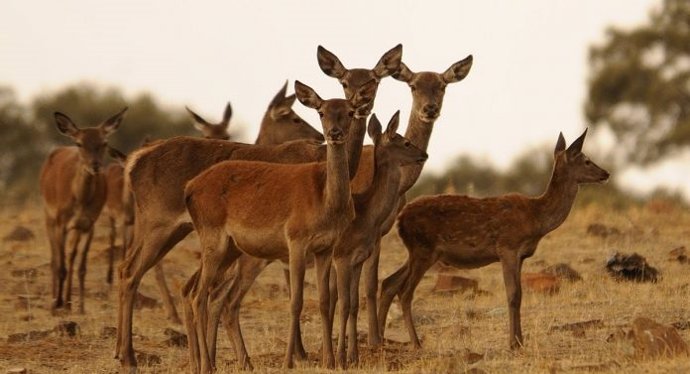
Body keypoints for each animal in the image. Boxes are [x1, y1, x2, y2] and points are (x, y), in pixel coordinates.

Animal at [40, 107, 126, 312]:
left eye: (104, 142)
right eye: (79, 143)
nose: (95, 165)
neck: (79, 200)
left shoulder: (89, 224)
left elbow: (81, 267)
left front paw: (80, 307)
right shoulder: (60, 222)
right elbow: (60, 265)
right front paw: (57, 304)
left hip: (75, 228)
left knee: (71, 257)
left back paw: (68, 302)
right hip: (48, 216)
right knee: (55, 258)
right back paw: (56, 300)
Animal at [181, 80, 376, 372]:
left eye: (349, 112)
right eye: (321, 112)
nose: (334, 133)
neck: (326, 200)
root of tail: (190, 188)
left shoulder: (325, 248)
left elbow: (325, 301)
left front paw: (330, 361)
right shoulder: (296, 241)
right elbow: (296, 301)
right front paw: (289, 361)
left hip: (231, 248)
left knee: (202, 293)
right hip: (213, 239)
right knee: (199, 296)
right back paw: (206, 365)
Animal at [376, 129, 608, 350]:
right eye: (587, 160)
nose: (606, 173)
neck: (537, 218)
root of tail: (400, 220)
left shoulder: (520, 255)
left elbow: (520, 294)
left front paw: (519, 341)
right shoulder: (507, 247)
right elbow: (513, 295)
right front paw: (513, 343)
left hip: (418, 252)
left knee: (389, 283)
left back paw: (380, 340)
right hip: (424, 249)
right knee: (405, 292)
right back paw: (415, 343)